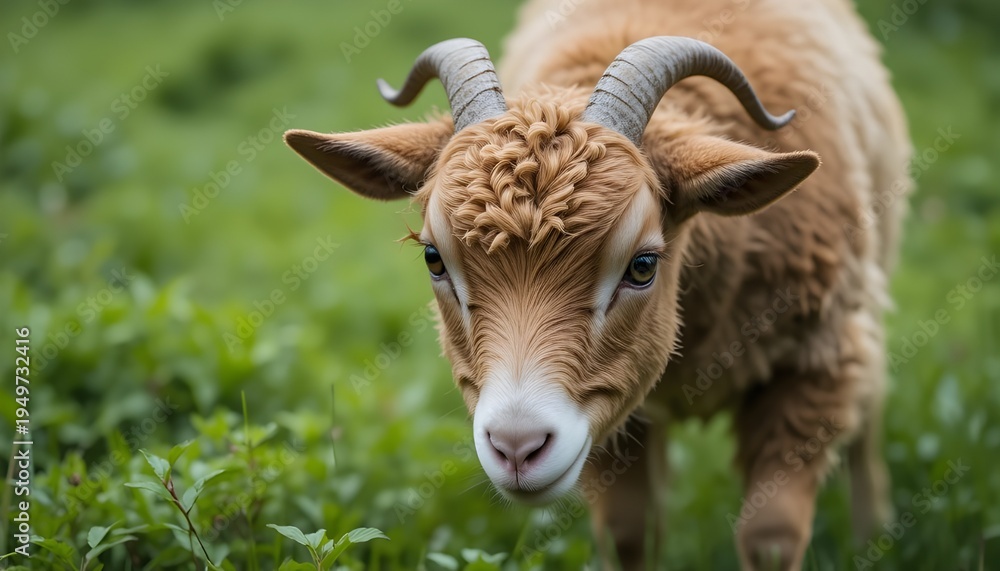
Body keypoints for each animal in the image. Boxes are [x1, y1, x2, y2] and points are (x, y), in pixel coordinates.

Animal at [284, 0, 910, 568]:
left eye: (643, 265)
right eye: (435, 259)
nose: (517, 448)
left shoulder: (813, 361)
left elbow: (772, 538)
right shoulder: (610, 411)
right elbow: (629, 535)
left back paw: (871, 530)